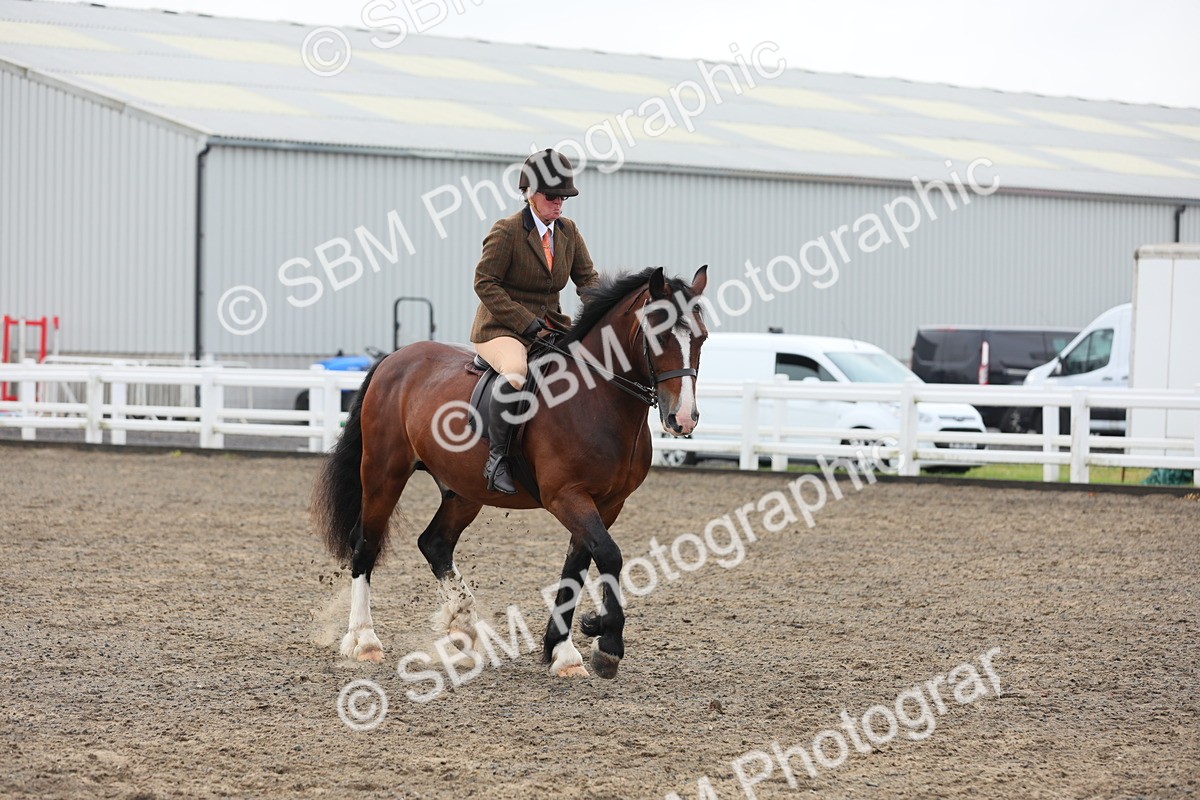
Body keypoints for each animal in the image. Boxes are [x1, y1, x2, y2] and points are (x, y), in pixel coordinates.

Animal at [312, 266, 709, 679]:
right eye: (659, 335)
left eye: (701, 337)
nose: (683, 419)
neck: (596, 399)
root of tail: (394, 359)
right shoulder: (566, 496)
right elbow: (609, 556)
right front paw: (606, 645)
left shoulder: (608, 503)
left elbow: (577, 566)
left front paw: (562, 651)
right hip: (383, 473)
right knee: (366, 544)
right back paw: (365, 640)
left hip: (462, 491)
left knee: (435, 543)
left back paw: (465, 627)